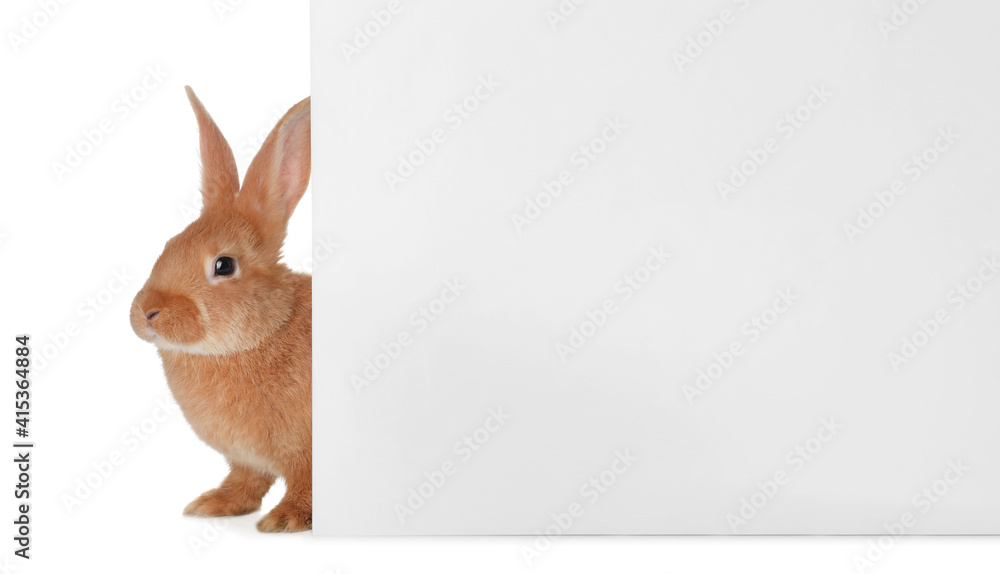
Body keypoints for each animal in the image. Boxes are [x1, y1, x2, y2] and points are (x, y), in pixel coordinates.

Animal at [129, 86, 312, 532]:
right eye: (169, 245)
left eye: (223, 265)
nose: (148, 312)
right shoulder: (246, 461)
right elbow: (246, 482)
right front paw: (214, 504)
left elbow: (305, 485)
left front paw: (286, 519)